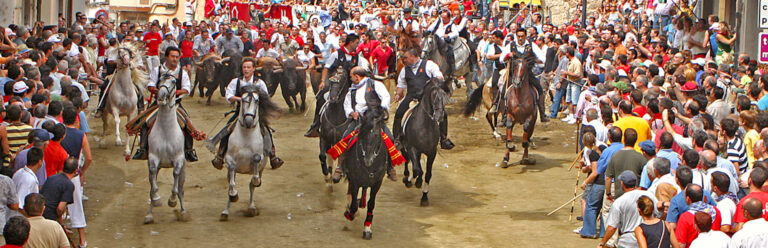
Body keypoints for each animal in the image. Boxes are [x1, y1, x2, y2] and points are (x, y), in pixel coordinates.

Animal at [143, 72, 188, 224]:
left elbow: (175, 175)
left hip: (184, 169)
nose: (161, 95)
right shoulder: (153, 158)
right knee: (151, 185)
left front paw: (172, 200)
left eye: (173, 82)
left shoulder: (179, 159)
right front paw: (157, 199)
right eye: (160, 80)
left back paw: (183, 211)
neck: (166, 130)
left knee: (181, 188)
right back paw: (149, 214)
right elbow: (153, 186)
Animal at [219, 84, 280, 220]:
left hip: (261, 169)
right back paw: (225, 211)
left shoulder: (260, 158)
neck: (246, 135)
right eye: (243, 100)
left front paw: (256, 182)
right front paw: (234, 196)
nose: (248, 121)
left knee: (252, 186)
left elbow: (255, 174)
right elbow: (232, 183)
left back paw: (252, 208)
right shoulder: (230, 160)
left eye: (257, 101)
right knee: (231, 183)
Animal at [340, 88, 390, 238]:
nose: (368, 160)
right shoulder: (355, 180)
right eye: (361, 134)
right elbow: (353, 204)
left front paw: (367, 228)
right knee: (351, 194)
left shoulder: (377, 182)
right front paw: (350, 214)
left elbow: (371, 203)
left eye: (377, 135)